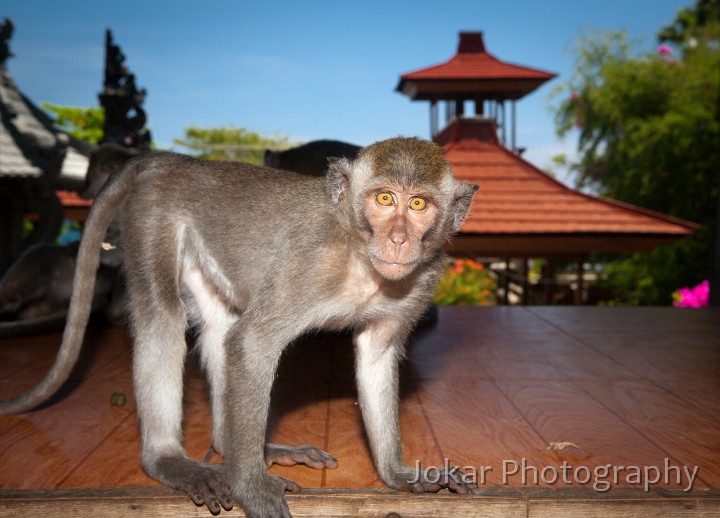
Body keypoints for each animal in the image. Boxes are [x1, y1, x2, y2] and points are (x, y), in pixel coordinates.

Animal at [1, 137, 484, 518]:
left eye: (418, 203)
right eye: (385, 199)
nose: (399, 239)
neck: (363, 259)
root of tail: (174, 160)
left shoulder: (419, 283)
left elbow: (376, 355)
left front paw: (398, 475)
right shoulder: (311, 265)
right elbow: (252, 343)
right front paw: (251, 490)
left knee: (218, 323)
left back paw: (233, 446)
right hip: (152, 219)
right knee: (164, 318)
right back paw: (173, 460)